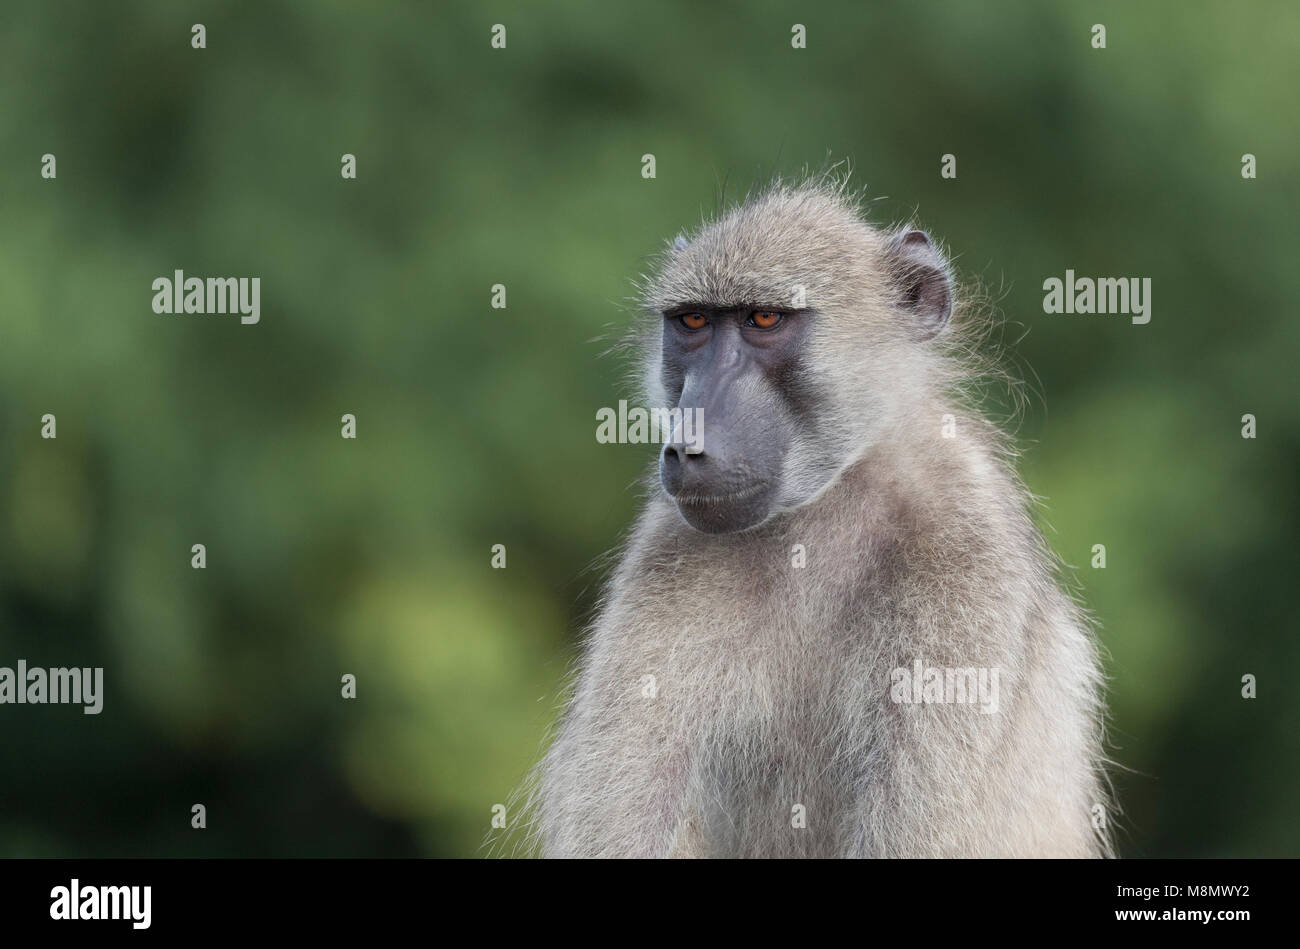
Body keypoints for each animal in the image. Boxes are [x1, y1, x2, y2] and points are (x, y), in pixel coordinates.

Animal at [522, 174, 1111, 858]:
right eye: (693, 321)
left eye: (765, 319)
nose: (688, 443)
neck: (828, 502)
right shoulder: (670, 551)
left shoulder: (967, 560)